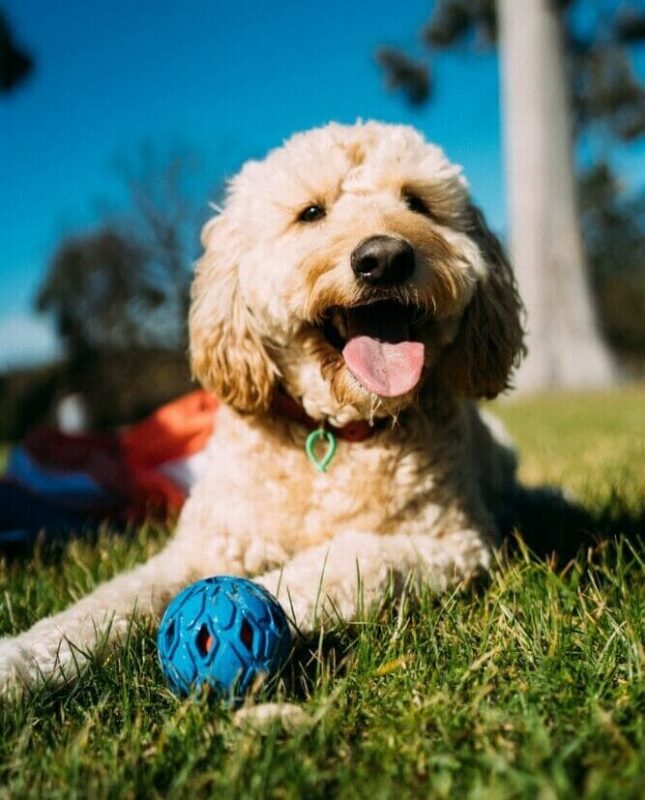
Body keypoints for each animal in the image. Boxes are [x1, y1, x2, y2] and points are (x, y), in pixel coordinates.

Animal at [0, 123, 524, 692]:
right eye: (311, 212)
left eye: (417, 202)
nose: (384, 258)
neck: (332, 433)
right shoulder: (202, 547)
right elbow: (109, 602)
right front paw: (21, 660)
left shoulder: (449, 543)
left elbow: (337, 566)